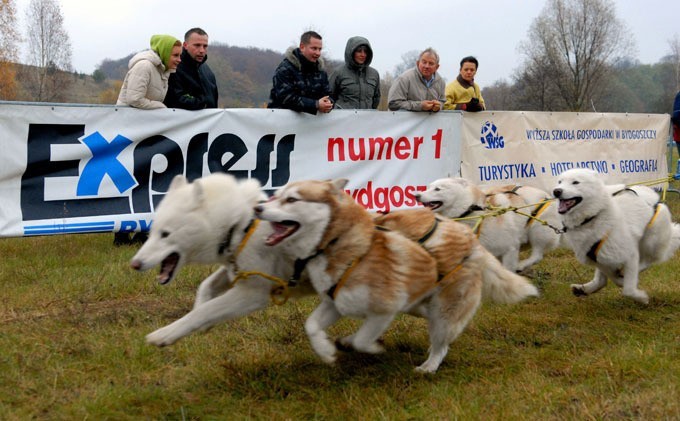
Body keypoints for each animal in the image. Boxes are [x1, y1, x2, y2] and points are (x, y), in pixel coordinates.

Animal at [252, 179, 540, 372]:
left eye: (292, 199)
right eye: (277, 195)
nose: (257, 208)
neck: (343, 244)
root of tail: (470, 239)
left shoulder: (384, 310)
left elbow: (362, 339)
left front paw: (368, 346)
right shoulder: (335, 303)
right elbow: (311, 326)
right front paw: (326, 349)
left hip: (445, 310)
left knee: (442, 342)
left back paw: (429, 366)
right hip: (420, 302)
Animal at [418, 176, 560, 270]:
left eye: (437, 189)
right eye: (428, 188)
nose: (416, 195)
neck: (472, 211)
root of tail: (548, 195)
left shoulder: (510, 248)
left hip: (538, 231)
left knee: (537, 254)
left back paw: (522, 265)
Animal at [552, 167, 680, 302]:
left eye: (575, 182)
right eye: (559, 182)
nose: (556, 191)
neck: (594, 215)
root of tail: (656, 199)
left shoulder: (630, 255)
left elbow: (628, 289)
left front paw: (641, 297)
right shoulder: (599, 259)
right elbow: (609, 278)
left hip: (651, 240)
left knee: (649, 260)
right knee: (602, 279)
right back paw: (584, 288)